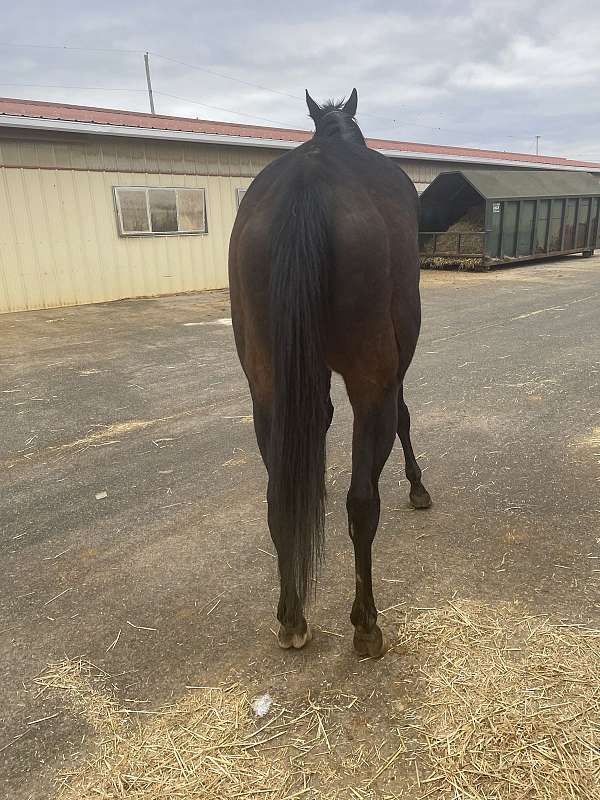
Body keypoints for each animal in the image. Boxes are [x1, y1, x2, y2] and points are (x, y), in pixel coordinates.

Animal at [230, 90, 432, 660]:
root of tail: (309, 186)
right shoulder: (392, 372)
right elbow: (405, 417)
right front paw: (418, 486)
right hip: (370, 381)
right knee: (362, 502)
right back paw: (366, 625)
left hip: (267, 390)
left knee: (279, 497)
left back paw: (292, 617)